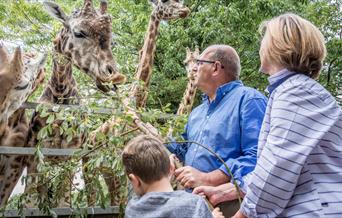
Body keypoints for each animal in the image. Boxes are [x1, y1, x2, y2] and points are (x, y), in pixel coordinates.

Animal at [23, 0, 125, 208]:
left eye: (112, 41)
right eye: (79, 33)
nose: (113, 77)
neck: (60, 94)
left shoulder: (70, 157)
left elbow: (63, 203)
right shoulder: (35, 156)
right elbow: (31, 203)